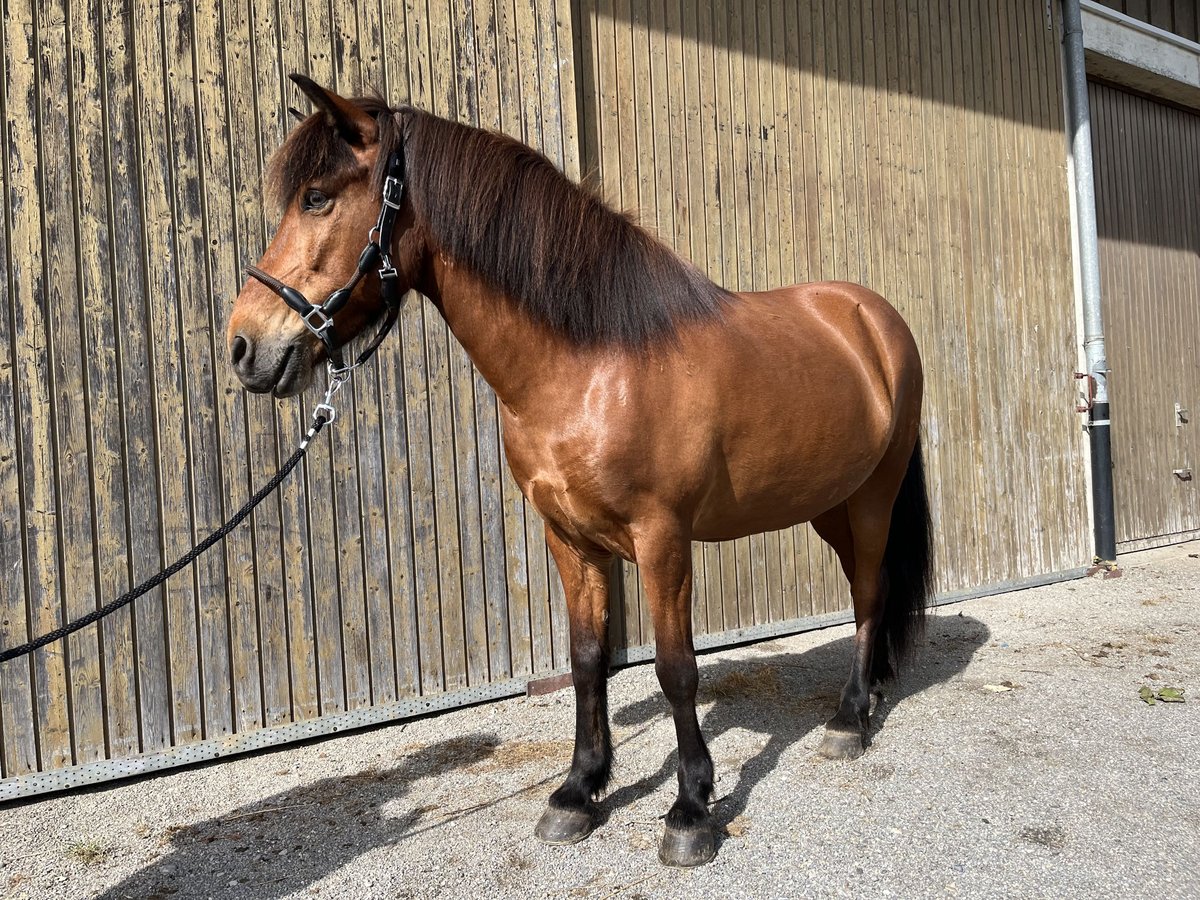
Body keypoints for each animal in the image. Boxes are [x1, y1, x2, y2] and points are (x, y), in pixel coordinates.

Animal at [228, 75, 933, 868]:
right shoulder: (568, 538)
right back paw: (871, 694)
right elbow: (588, 658)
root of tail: (871, 318)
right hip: (828, 505)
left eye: (316, 197)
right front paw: (578, 792)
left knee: (870, 592)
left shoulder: (662, 540)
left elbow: (675, 668)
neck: (591, 365)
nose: (244, 346)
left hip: (873, 496)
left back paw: (849, 720)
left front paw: (690, 811)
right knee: (868, 589)